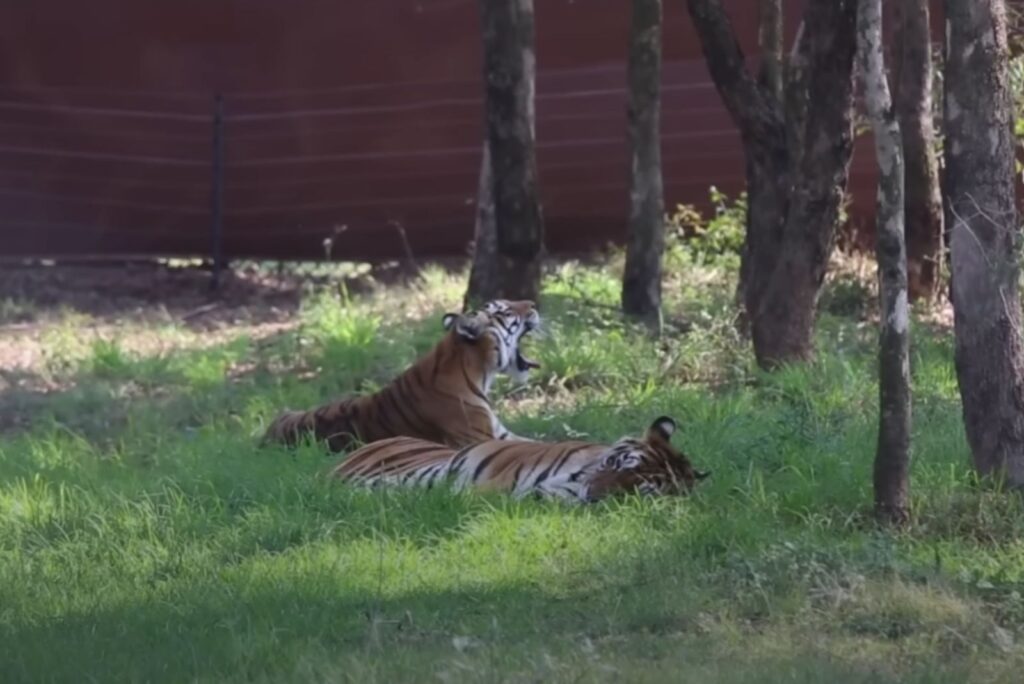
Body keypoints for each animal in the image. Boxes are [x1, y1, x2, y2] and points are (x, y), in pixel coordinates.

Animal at [260, 301, 540, 454]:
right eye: (506, 311)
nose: (535, 305)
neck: (478, 372)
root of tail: (265, 437)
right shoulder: (481, 439)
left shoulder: (501, 434)